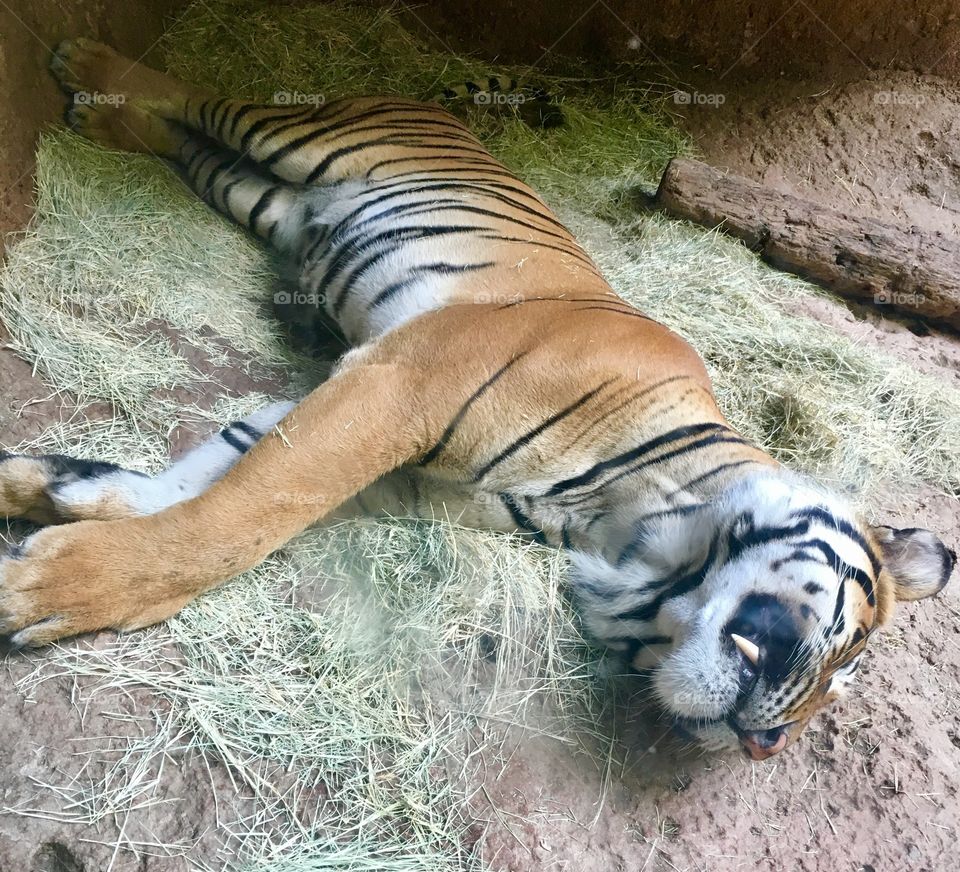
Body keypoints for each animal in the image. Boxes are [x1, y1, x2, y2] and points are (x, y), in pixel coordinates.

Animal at [0, 37, 952, 762]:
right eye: (848, 652)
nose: (766, 744)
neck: (631, 528)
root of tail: (437, 105)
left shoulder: (398, 457)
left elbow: (217, 476)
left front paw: (57, 494)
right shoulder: (406, 381)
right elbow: (241, 520)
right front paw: (52, 589)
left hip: (270, 201)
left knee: (188, 144)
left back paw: (102, 114)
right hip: (300, 138)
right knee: (203, 98)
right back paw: (88, 64)